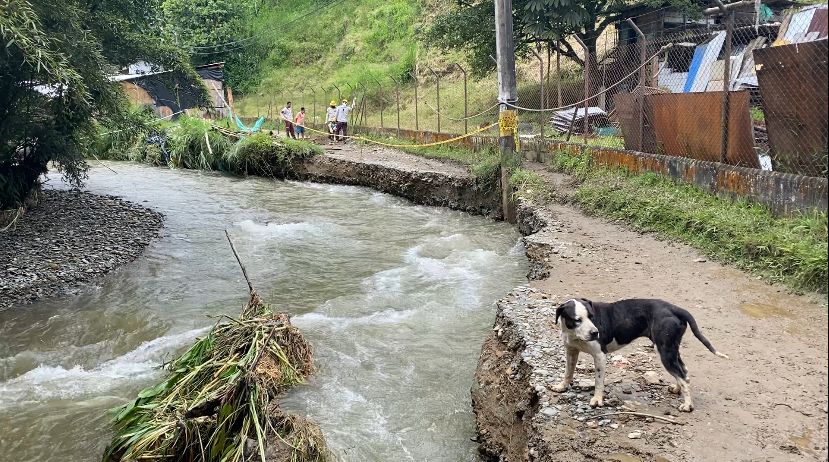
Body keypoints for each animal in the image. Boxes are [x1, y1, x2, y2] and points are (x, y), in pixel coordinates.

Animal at [552, 300, 728, 412]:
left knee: (682, 375)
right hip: (671, 349)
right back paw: (677, 389)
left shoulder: (600, 356)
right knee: (683, 371)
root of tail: (675, 308)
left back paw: (687, 406)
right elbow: (568, 372)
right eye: (577, 320)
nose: (595, 332)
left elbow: (598, 381)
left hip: (664, 351)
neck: (574, 334)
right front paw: (561, 387)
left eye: (592, 316)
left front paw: (597, 400)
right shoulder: (571, 351)